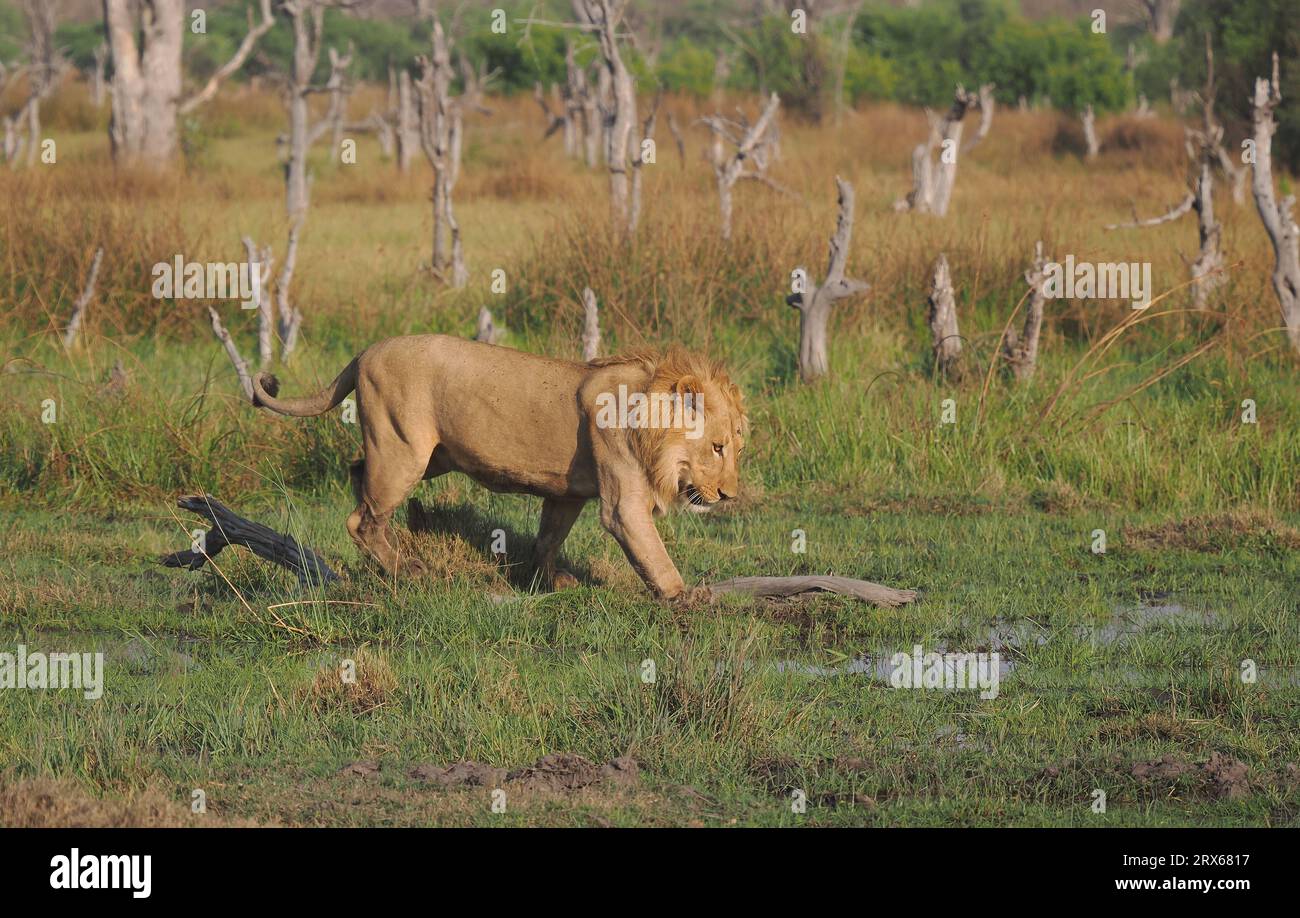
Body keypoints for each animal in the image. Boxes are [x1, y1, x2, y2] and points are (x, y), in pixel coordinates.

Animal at [248, 332, 748, 598]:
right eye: (717, 447)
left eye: (736, 449)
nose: (730, 496)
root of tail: (365, 351)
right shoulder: (622, 504)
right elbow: (654, 554)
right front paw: (685, 596)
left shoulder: (565, 494)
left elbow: (548, 538)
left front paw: (549, 580)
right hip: (404, 450)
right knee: (360, 519)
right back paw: (408, 571)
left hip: (427, 456)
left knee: (358, 475)